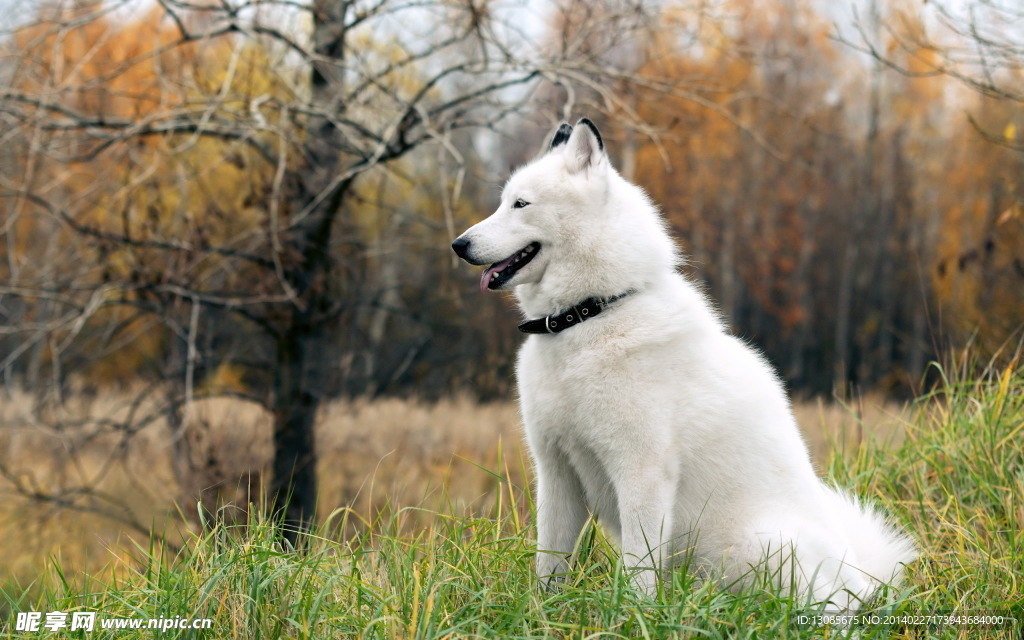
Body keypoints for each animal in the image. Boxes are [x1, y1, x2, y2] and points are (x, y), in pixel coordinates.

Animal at [452, 116, 917, 610]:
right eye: (503, 202)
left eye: (521, 204)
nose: (458, 244)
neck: (590, 315)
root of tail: (863, 580)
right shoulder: (556, 470)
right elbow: (550, 564)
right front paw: (546, 614)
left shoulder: (641, 471)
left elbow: (638, 569)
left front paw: (633, 616)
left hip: (759, 547)